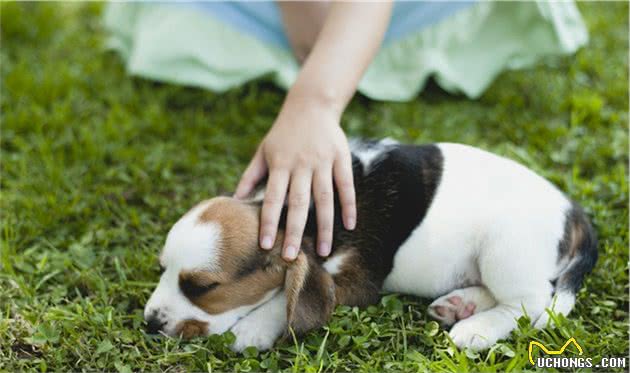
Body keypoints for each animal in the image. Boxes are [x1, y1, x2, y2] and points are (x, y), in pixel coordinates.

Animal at [143, 140, 596, 352]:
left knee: (532, 305)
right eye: (161, 269)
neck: (294, 214)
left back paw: (476, 329)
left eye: (201, 288)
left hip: (505, 249)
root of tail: (573, 211)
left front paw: (254, 327)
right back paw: (460, 304)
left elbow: (285, 296)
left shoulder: (357, 282)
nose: (149, 322)